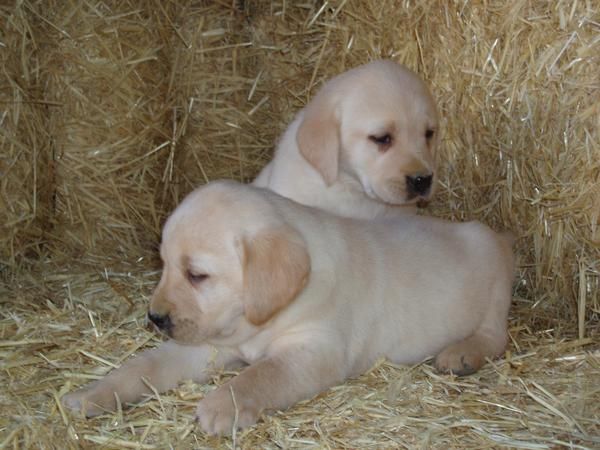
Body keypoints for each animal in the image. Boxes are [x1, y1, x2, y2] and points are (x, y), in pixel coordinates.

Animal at [63, 180, 512, 436]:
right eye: (164, 264)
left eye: (197, 275)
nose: (154, 318)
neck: (255, 322)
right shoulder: (208, 343)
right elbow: (143, 366)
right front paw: (92, 394)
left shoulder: (316, 350)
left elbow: (262, 374)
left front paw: (222, 405)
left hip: (496, 280)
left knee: (496, 336)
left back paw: (461, 354)